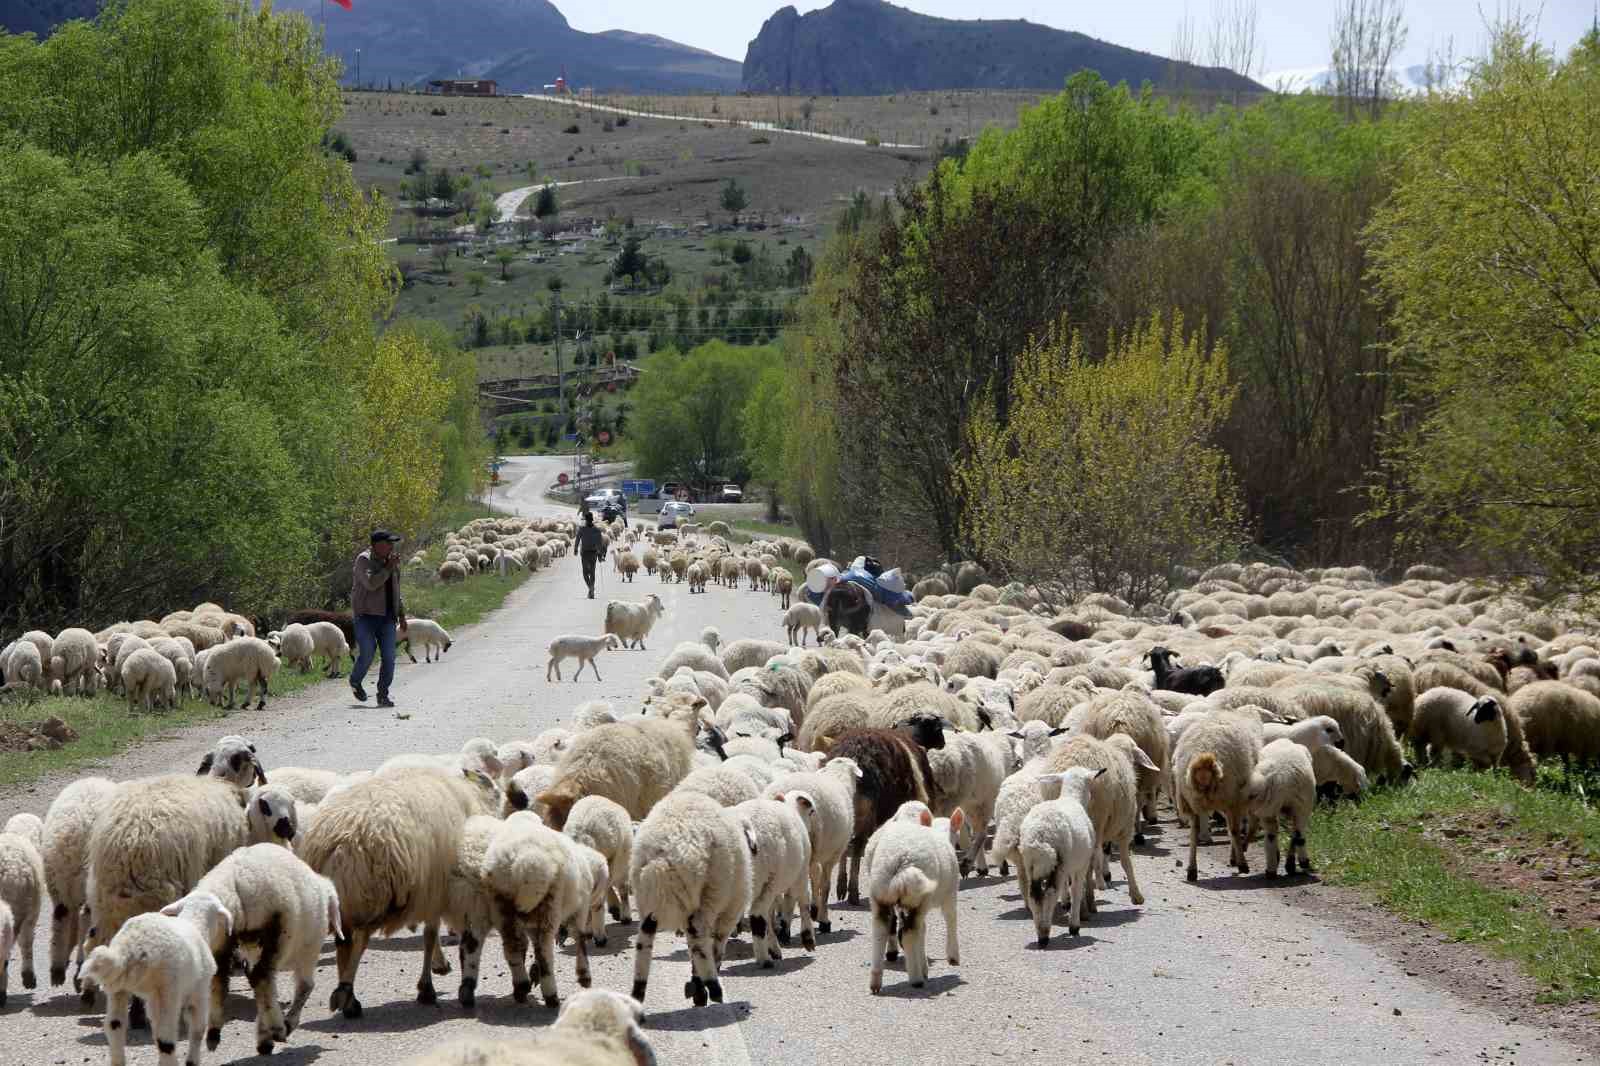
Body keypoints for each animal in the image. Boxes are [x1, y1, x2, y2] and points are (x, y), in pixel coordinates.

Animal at [82, 889, 232, 1062]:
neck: (196, 923)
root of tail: (129, 949)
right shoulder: (199, 992)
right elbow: (197, 1030)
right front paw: (192, 1061)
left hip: (118, 988)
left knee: (114, 1026)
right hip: (167, 990)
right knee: (165, 1040)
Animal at [167, 845, 342, 1049]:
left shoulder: (267, 940)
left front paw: (271, 1029)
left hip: (281, 943)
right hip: (273, 940)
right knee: (264, 981)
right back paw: (272, 1029)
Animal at [627, 787, 752, 1005]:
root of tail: (662, 857)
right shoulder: (731, 909)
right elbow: (718, 942)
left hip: (648, 897)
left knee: (644, 938)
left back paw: (638, 990)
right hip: (710, 893)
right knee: (698, 937)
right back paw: (711, 986)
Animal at [864, 800, 960, 992]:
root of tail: (900, 861)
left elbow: (923, 930)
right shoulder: (950, 892)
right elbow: (950, 918)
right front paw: (953, 956)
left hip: (880, 892)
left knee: (881, 929)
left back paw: (876, 979)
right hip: (918, 899)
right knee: (910, 933)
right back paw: (915, 978)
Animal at [1171, 704, 1254, 877]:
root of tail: (1203, 759)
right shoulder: (1237, 800)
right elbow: (1233, 830)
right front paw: (1234, 858)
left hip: (1189, 800)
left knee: (1194, 832)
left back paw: (1192, 870)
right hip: (1229, 795)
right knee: (1234, 830)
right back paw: (1242, 864)